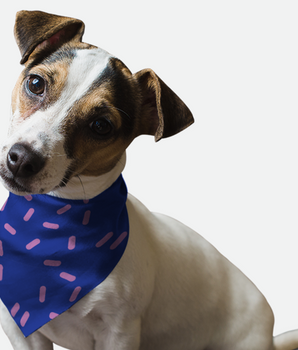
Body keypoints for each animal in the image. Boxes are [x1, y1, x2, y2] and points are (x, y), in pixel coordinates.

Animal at [0, 10, 298, 350]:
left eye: (101, 126)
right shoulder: (18, 326)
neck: (53, 228)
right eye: (36, 83)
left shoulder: (119, 334)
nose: (22, 159)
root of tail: (268, 335)